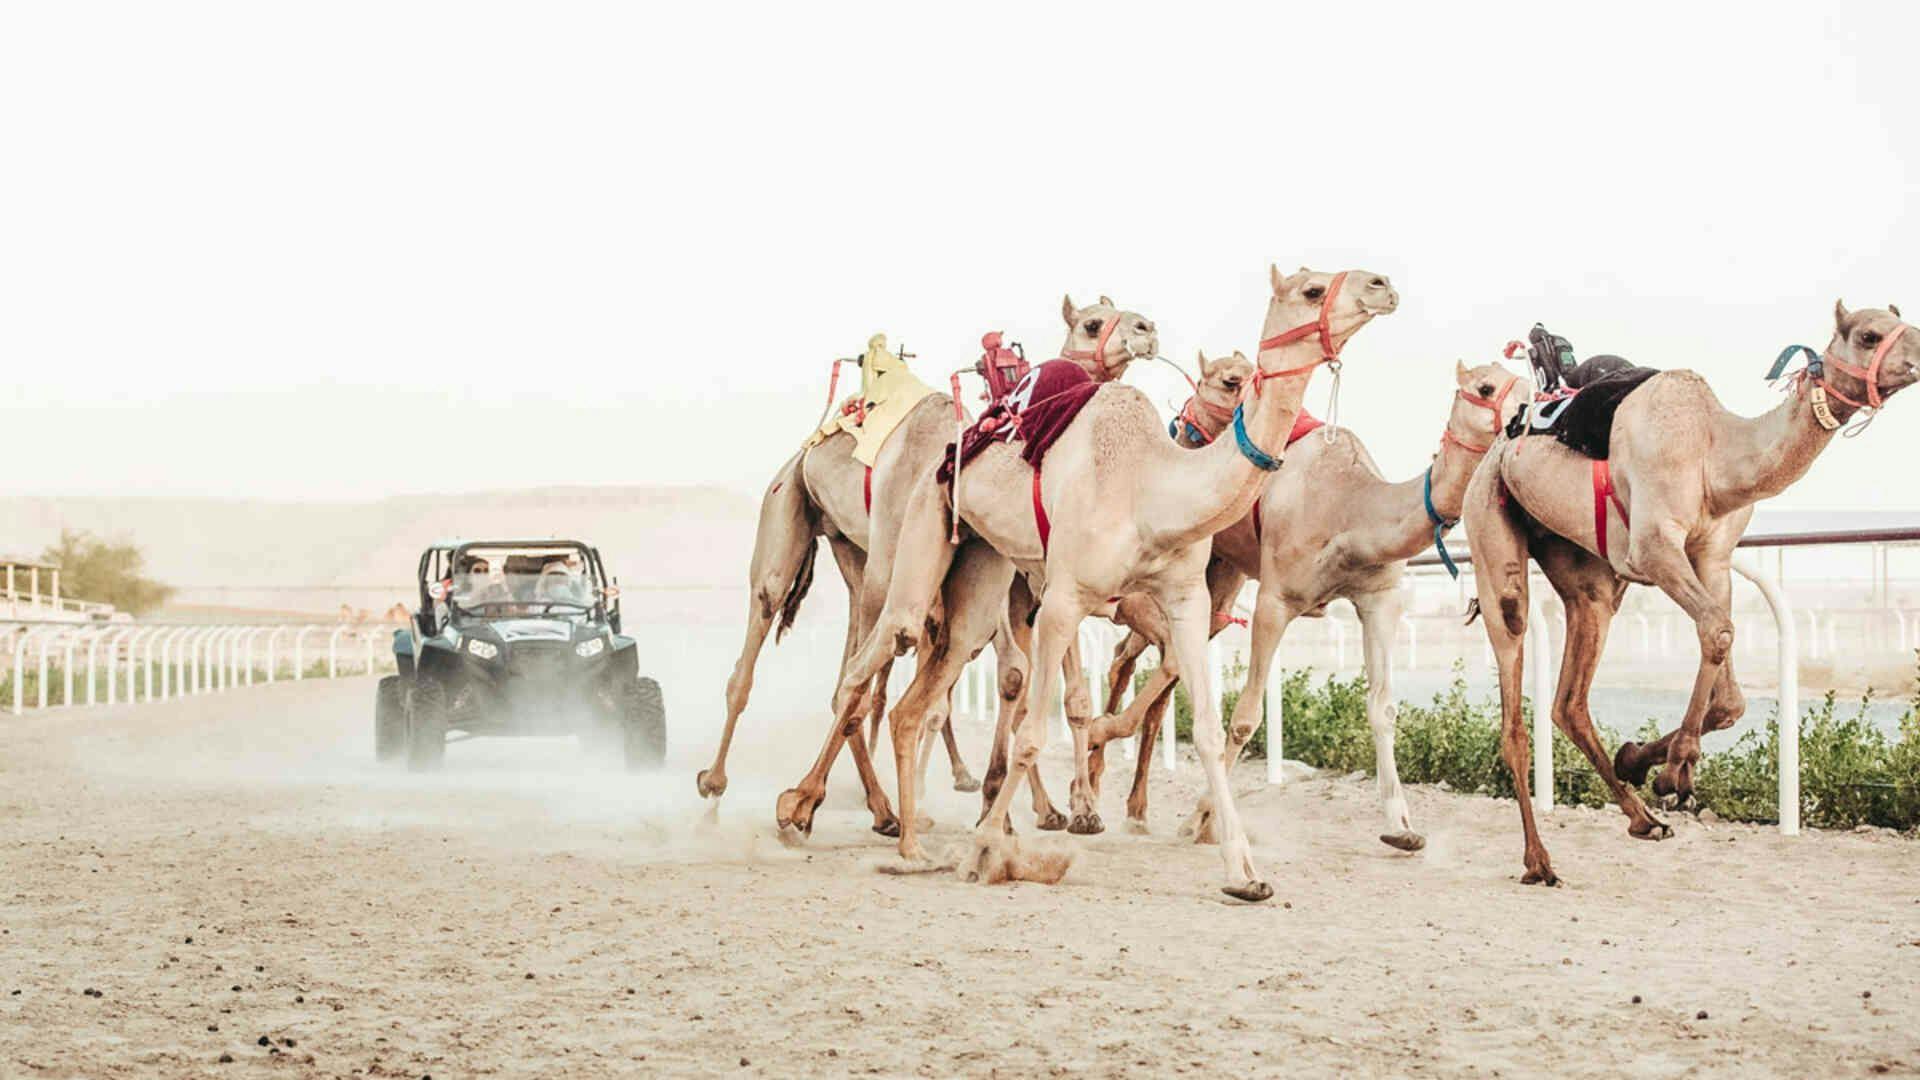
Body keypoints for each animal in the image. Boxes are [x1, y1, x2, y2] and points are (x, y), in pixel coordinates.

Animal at [770, 299, 1159, 840]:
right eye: (1092, 323)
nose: (1146, 330)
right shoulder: (1014, 593)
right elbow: (1015, 677)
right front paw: (1010, 808)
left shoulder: (1045, 589)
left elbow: (1065, 696)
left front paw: (1073, 809)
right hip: (881, 565)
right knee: (864, 675)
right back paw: (831, 803)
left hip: (859, 559)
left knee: (878, 674)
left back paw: (887, 802)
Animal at [831, 265, 1399, 901]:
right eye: (1310, 289)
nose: (1381, 284)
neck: (1150, 490)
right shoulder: (1062, 600)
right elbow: (1036, 731)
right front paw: (986, 849)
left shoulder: (1186, 599)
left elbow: (1207, 728)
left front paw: (1244, 873)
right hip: (924, 523)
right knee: (877, 652)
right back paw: (822, 817)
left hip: (981, 567)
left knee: (918, 697)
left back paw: (910, 844)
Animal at [1085, 359, 1529, 850]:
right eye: (1485, 387)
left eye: (1529, 383)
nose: (1525, 417)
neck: (1350, 508)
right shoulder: (1275, 600)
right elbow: (1245, 717)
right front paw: (1200, 820)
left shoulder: (1379, 600)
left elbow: (1383, 708)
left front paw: (1401, 827)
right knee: (1127, 654)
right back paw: (1100, 773)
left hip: (1220, 573)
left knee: (1161, 662)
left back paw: (1131, 804)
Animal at [1462, 301, 1918, 885]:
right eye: (1869, 335)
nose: (1918, 358)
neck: (1714, 454)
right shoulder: (1654, 548)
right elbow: (1717, 630)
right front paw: (1675, 769)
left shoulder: (1713, 554)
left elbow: (1730, 692)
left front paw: (1639, 758)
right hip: (1490, 525)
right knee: (1514, 686)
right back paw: (1539, 860)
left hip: (1587, 575)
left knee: (1569, 701)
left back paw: (1643, 820)